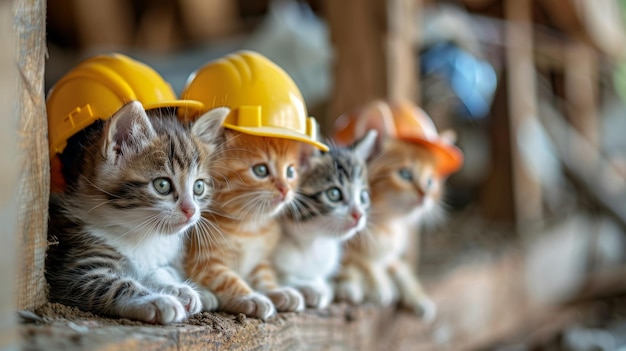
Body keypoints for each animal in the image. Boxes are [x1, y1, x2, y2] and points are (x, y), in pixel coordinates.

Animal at [45, 102, 227, 324]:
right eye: (162, 185)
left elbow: (159, 270)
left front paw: (177, 288)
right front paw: (158, 301)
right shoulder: (73, 269)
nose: (190, 210)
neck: (142, 234)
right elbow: (114, 285)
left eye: (198, 187)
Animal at [272, 131, 376, 310]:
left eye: (363, 196)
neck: (312, 241)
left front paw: (323, 285)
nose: (358, 215)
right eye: (334, 194)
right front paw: (308, 288)